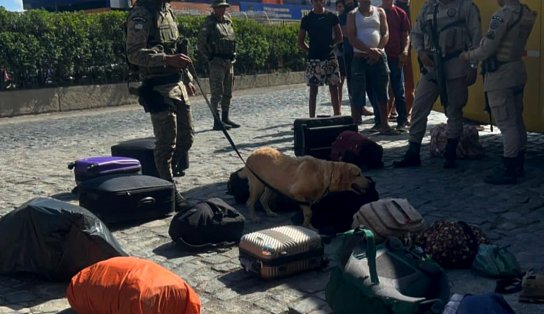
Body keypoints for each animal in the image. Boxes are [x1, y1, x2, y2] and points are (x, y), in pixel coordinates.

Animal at [239, 147, 370, 228]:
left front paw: (308, 226)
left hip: (271, 186)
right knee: (250, 202)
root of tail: (252, 154)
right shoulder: (297, 194)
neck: (326, 173)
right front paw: (307, 227)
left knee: (263, 199)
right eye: (358, 174)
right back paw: (254, 218)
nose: (369, 182)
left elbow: (309, 214)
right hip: (257, 184)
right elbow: (309, 213)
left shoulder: (309, 200)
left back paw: (270, 212)